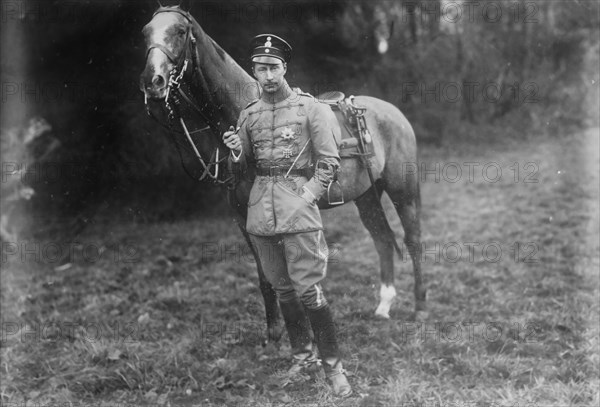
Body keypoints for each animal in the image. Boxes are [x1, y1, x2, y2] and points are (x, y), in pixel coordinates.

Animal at [138, 5, 424, 344]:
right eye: (145, 32)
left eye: (180, 32)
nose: (152, 82)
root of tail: (393, 112)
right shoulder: (244, 218)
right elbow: (266, 276)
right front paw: (275, 334)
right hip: (367, 196)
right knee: (382, 238)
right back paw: (383, 305)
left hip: (404, 192)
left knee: (413, 240)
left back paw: (420, 309)